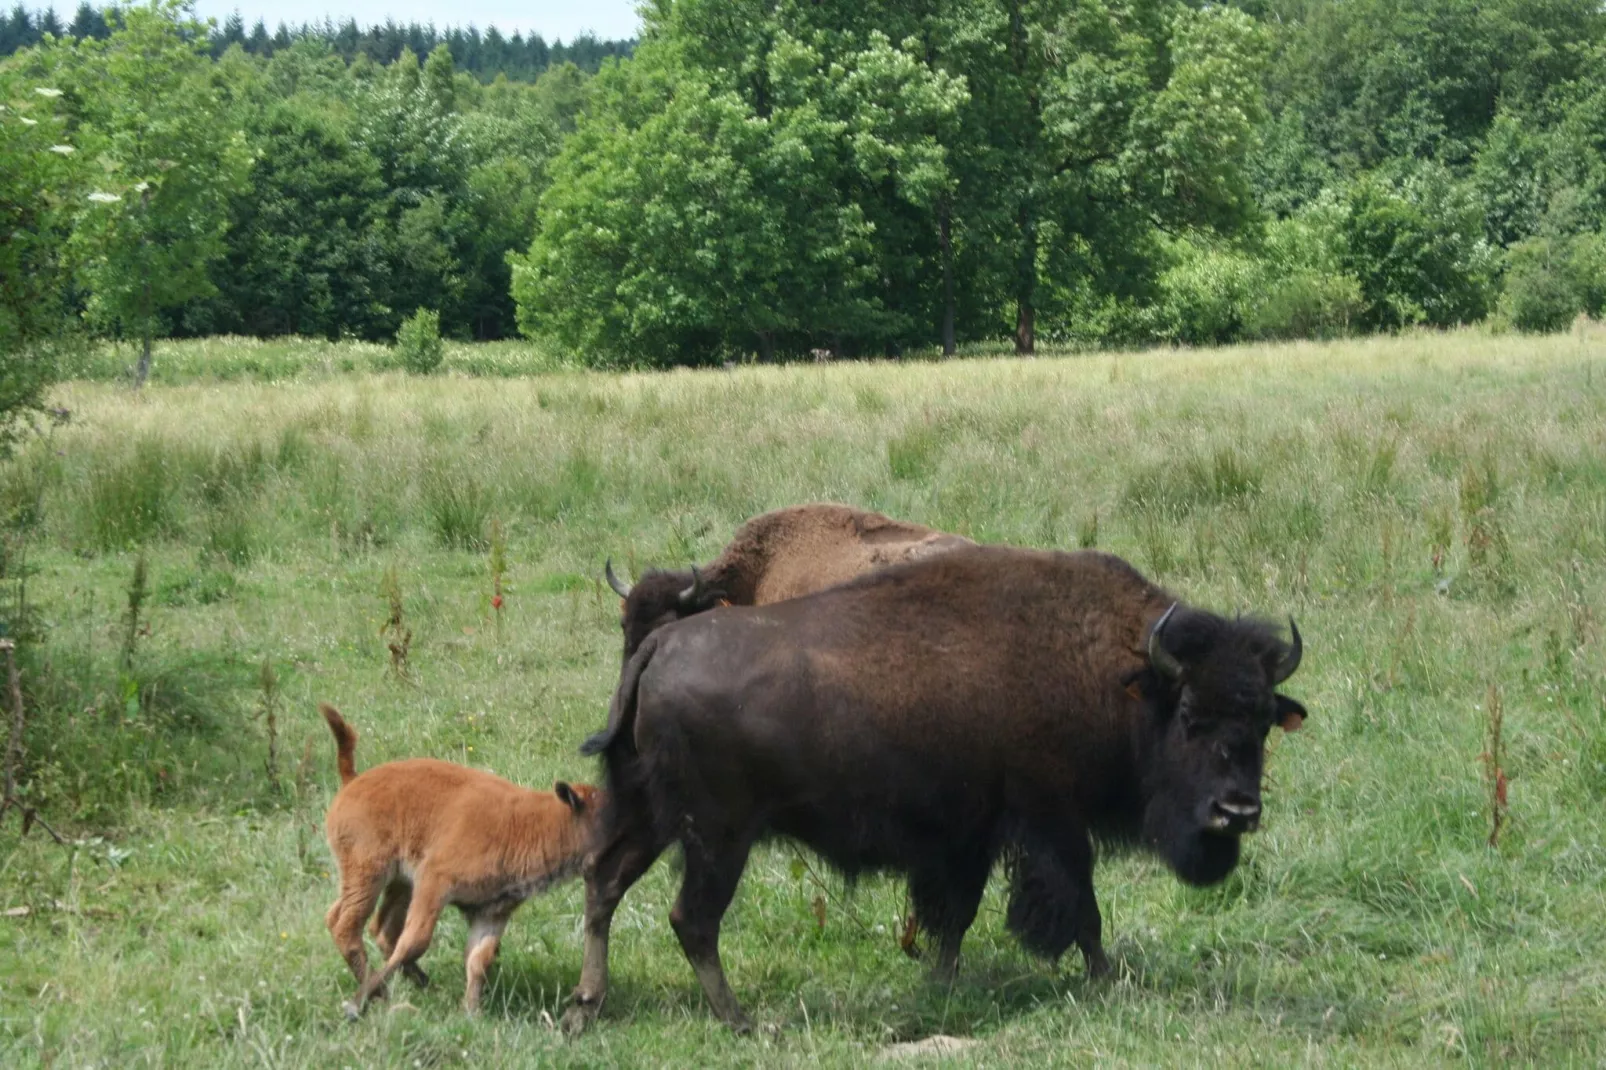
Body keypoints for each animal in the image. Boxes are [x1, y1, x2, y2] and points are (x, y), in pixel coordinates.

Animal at [319, 703, 603, 1015]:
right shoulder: (434, 881)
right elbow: (415, 940)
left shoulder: (491, 910)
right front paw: (356, 1004)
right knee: (347, 926)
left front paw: (472, 1012)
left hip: (396, 882)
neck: (529, 823)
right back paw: (379, 994)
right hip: (369, 873)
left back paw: (416, 984)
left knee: (371, 926)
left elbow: (479, 958)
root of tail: (353, 781)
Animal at [565, 546, 1304, 1028]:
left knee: (603, 881)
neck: (1115, 670)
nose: (1237, 809)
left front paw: (942, 984)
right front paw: (1104, 980)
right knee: (691, 918)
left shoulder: (969, 836)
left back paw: (586, 1008)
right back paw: (740, 1020)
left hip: (647, 814)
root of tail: (658, 647)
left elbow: (957, 915)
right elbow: (1081, 910)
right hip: (718, 837)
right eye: (1190, 716)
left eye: (1265, 719)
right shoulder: (1051, 822)